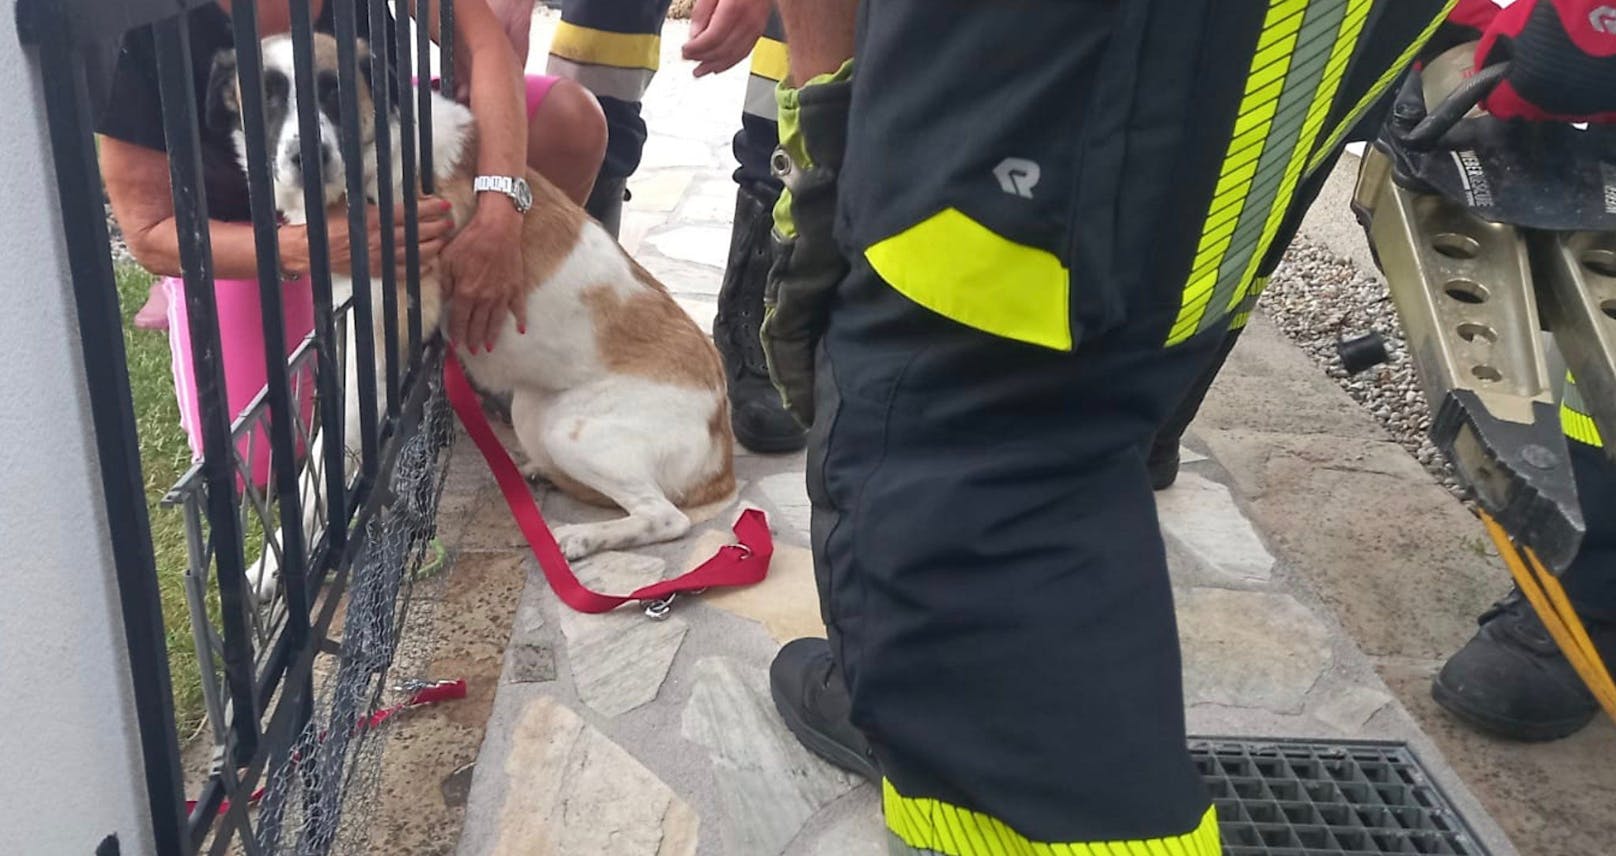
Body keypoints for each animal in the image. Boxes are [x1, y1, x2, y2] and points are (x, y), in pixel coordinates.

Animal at [208, 34, 733, 594]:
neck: (376, 171)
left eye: (333, 90)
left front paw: (269, 572)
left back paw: (581, 538)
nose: (308, 158)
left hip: (574, 430)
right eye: (265, 96)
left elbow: (316, 481)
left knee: (666, 517)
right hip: (534, 412)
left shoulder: (378, 351)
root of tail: (721, 440)